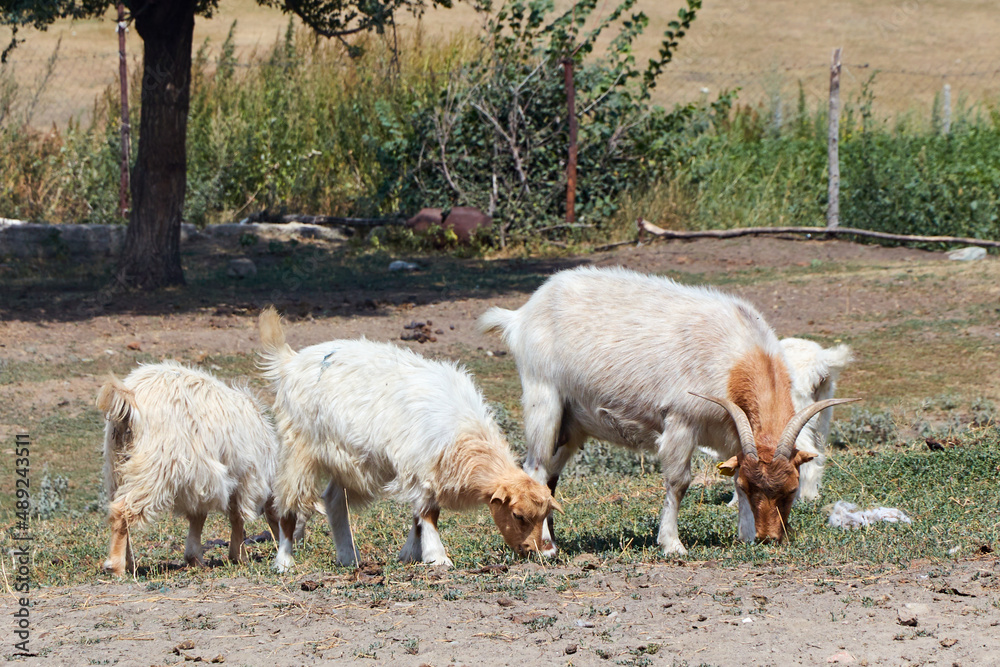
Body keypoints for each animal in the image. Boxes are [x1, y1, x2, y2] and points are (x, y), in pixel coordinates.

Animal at [97, 361, 280, 576]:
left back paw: (129, 563)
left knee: (117, 507)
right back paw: (116, 566)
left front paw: (195, 558)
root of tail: (131, 397)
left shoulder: (201, 481)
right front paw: (239, 556)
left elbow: (199, 517)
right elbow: (236, 517)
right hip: (154, 467)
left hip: (116, 467)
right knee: (122, 511)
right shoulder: (242, 479)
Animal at [257, 307, 561, 572]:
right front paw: (437, 556)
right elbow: (428, 514)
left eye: (544, 516)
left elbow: (418, 516)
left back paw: (348, 556)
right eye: (518, 515)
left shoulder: (426, 471)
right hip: (299, 447)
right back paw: (284, 561)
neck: (463, 433)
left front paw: (411, 553)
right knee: (287, 506)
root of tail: (291, 362)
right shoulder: (421, 468)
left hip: (343, 457)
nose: (542, 552)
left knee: (333, 500)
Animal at [480, 266, 857, 555]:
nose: (769, 539)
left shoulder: (734, 434)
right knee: (536, 468)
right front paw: (672, 544)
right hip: (544, 398)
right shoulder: (680, 421)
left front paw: (746, 535)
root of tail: (521, 316)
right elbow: (678, 482)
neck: (737, 353)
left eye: (791, 489)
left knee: (551, 474)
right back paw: (546, 545)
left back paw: (552, 537)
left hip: (573, 423)